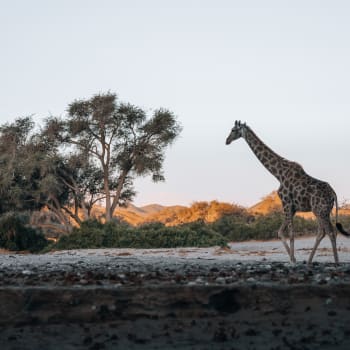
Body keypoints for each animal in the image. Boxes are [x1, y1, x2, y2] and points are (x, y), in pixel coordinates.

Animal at [226, 121, 348, 264]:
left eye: (233, 130)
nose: (227, 141)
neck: (278, 174)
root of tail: (333, 194)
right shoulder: (292, 207)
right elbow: (280, 232)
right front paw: (293, 258)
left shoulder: (286, 203)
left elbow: (290, 233)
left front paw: (292, 260)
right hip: (322, 211)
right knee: (322, 232)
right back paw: (310, 261)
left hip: (320, 210)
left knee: (330, 232)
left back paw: (335, 262)